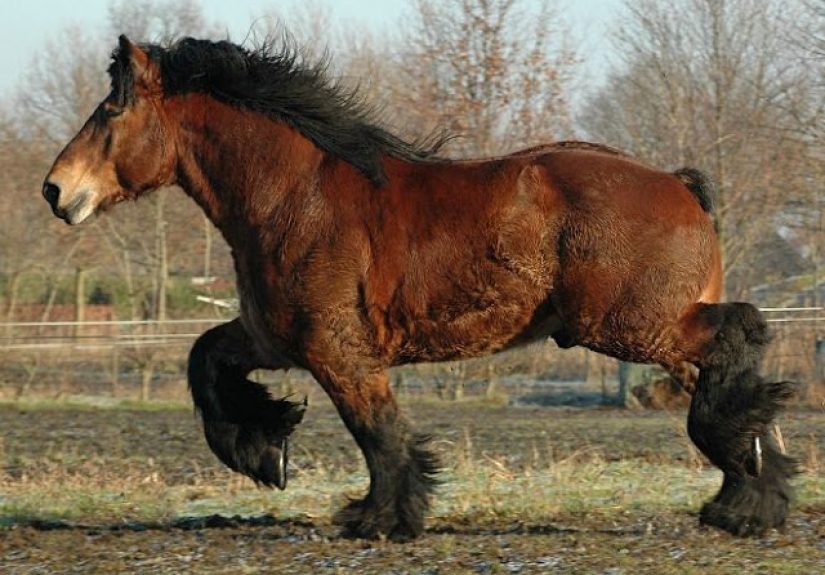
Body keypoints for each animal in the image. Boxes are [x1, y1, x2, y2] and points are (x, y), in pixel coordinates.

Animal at [42, 35, 796, 541]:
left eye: (111, 111)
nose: (56, 190)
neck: (294, 197)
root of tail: (681, 185)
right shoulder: (270, 337)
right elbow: (205, 360)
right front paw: (265, 452)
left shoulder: (337, 350)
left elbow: (378, 431)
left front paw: (377, 516)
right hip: (655, 329)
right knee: (742, 384)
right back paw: (752, 497)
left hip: (630, 325)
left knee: (741, 336)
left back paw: (739, 500)